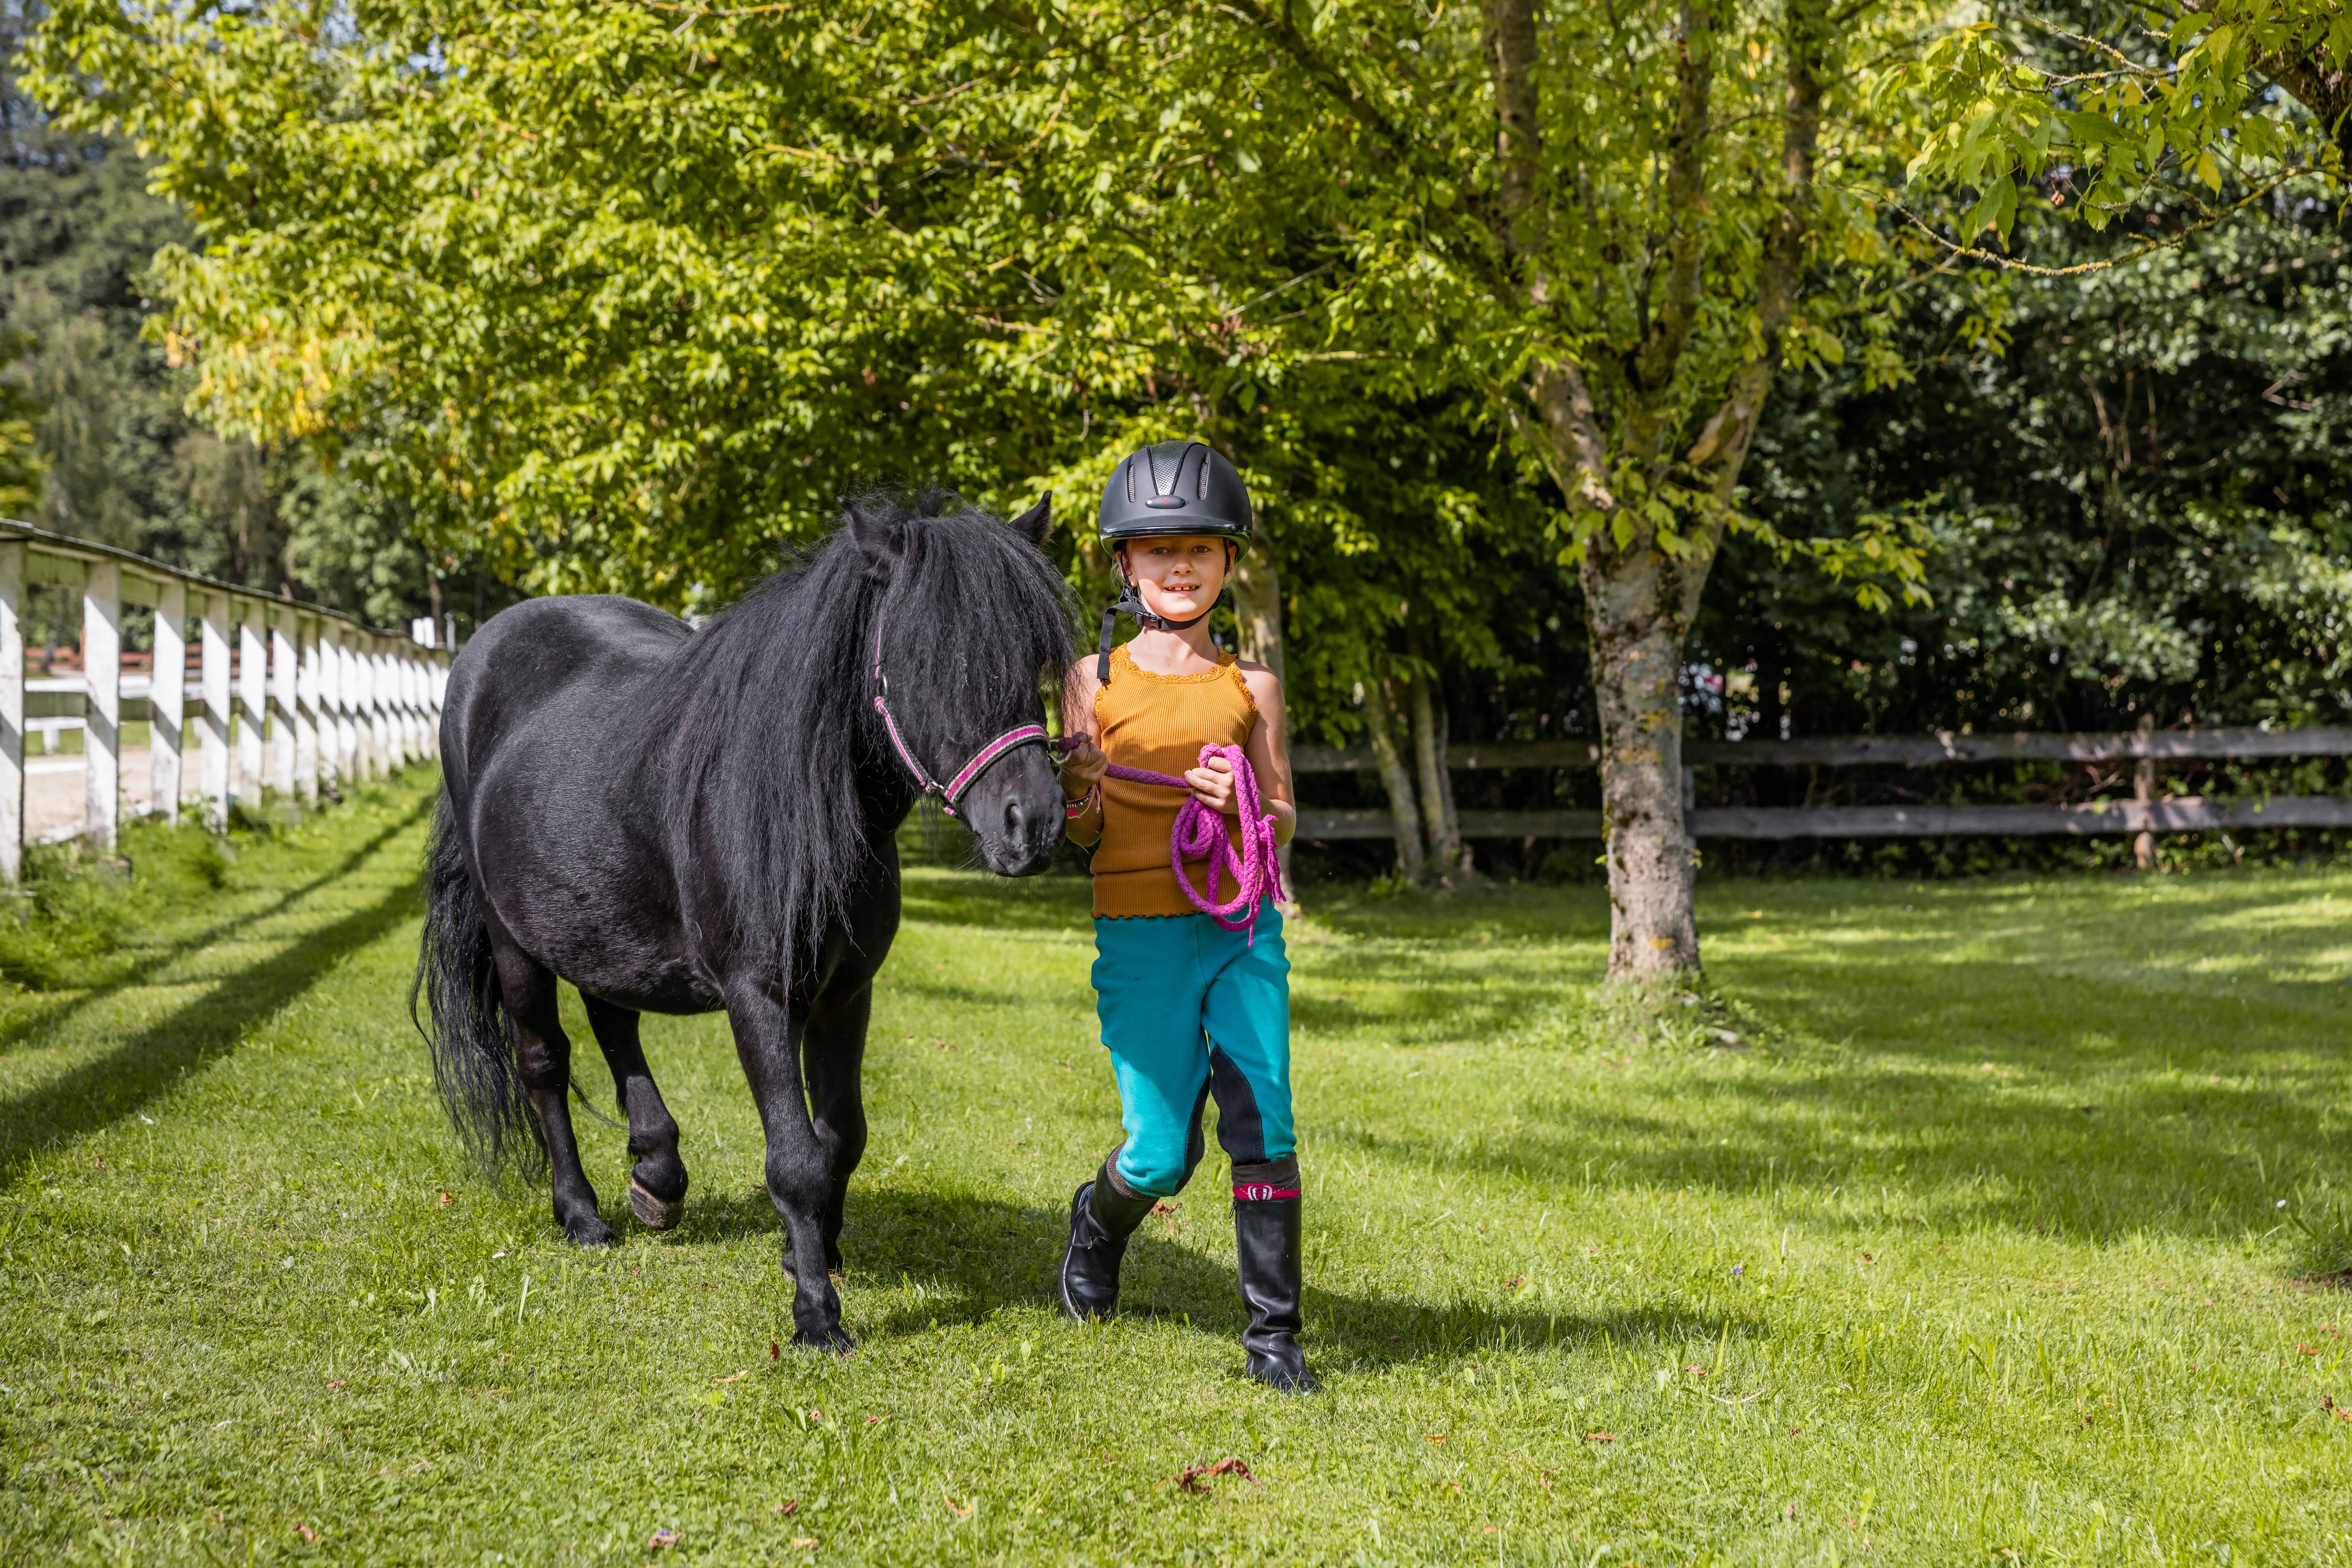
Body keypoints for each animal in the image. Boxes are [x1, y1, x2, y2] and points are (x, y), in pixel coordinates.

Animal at [414, 491, 1073, 1351]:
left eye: (1034, 659)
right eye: (924, 656)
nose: (1035, 824)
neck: (803, 801)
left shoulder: (844, 993)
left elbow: (840, 1136)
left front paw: (811, 1253)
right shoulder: (758, 995)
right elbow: (794, 1155)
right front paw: (816, 1314)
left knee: (614, 1019)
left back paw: (656, 1174)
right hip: (511, 938)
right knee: (544, 1063)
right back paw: (582, 1212)